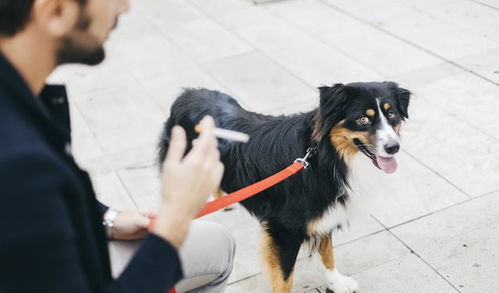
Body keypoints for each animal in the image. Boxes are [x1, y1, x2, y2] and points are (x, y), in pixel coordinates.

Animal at [159, 81, 410, 292]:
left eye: (391, 114)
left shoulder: (325, 213)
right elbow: (284, 277)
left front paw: (337, 282)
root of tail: (188, 94)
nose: (394, 147)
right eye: (362, 119)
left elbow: (327, 253)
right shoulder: (285, 228)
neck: (325, 158)